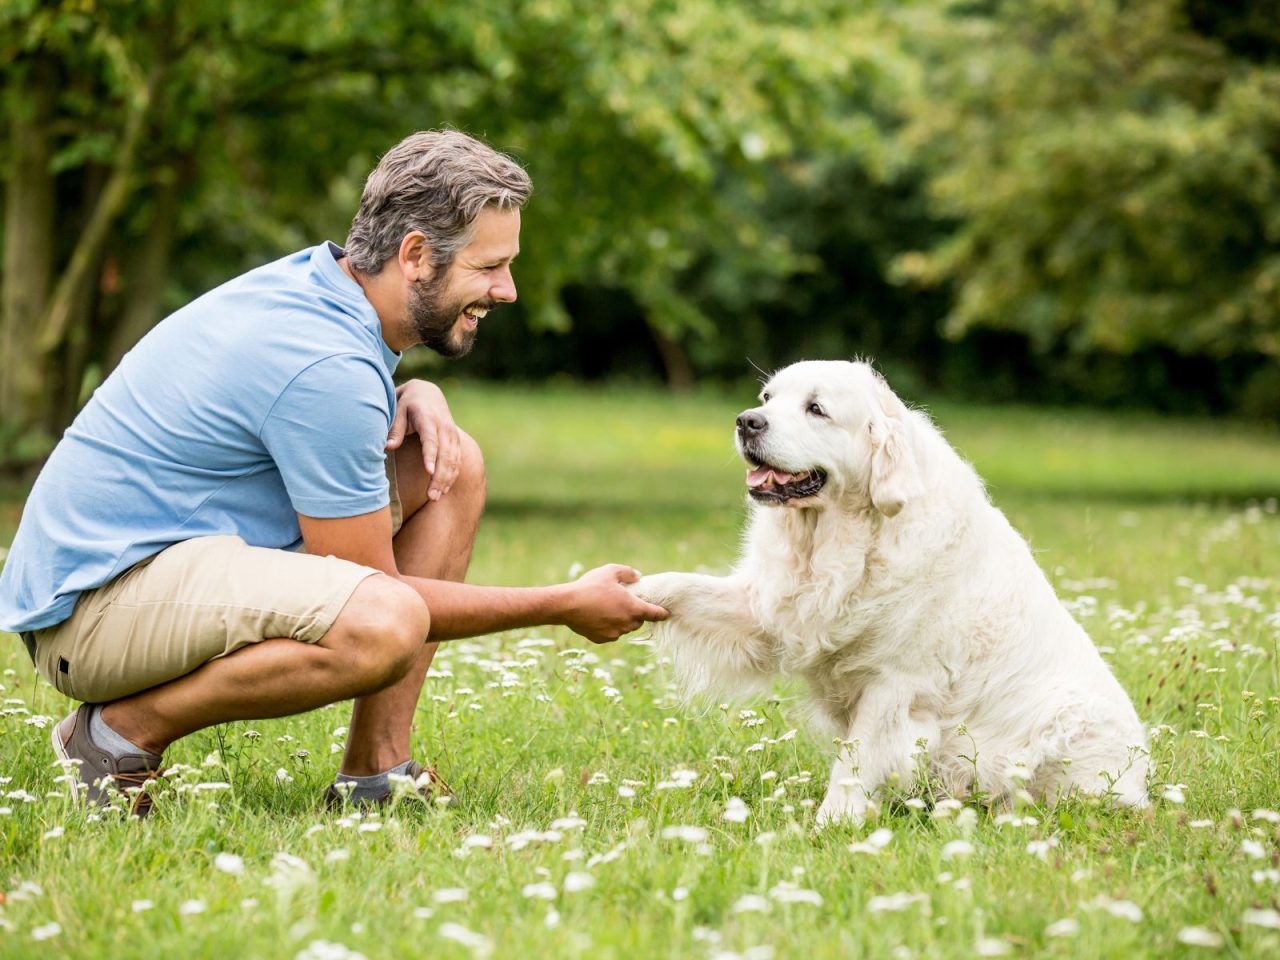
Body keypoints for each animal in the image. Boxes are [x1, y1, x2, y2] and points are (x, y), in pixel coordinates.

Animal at [634, 360, 1146, 829]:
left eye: (816, 409)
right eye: (766, 398)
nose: (746, 422)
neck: (842, 540)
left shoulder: (894, 682)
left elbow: (856, 759)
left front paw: (830, 824)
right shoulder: (770, 610)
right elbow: (680, 585)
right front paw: (628, 591)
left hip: (1065, 719)